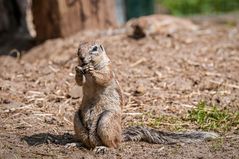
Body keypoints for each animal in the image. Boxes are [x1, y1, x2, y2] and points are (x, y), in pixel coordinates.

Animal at [73, 41, 218, 150]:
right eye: (78, 48)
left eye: (94, 48)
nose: (81, 57)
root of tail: (120, 136)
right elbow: (79, 82)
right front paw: (78, 70)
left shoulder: (108, 71)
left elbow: (102, 78)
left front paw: (91, 71)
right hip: (77, 119)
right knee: (88, 143)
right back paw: (75, 144)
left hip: (106, 120)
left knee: (114, 145)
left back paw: (104, 148)